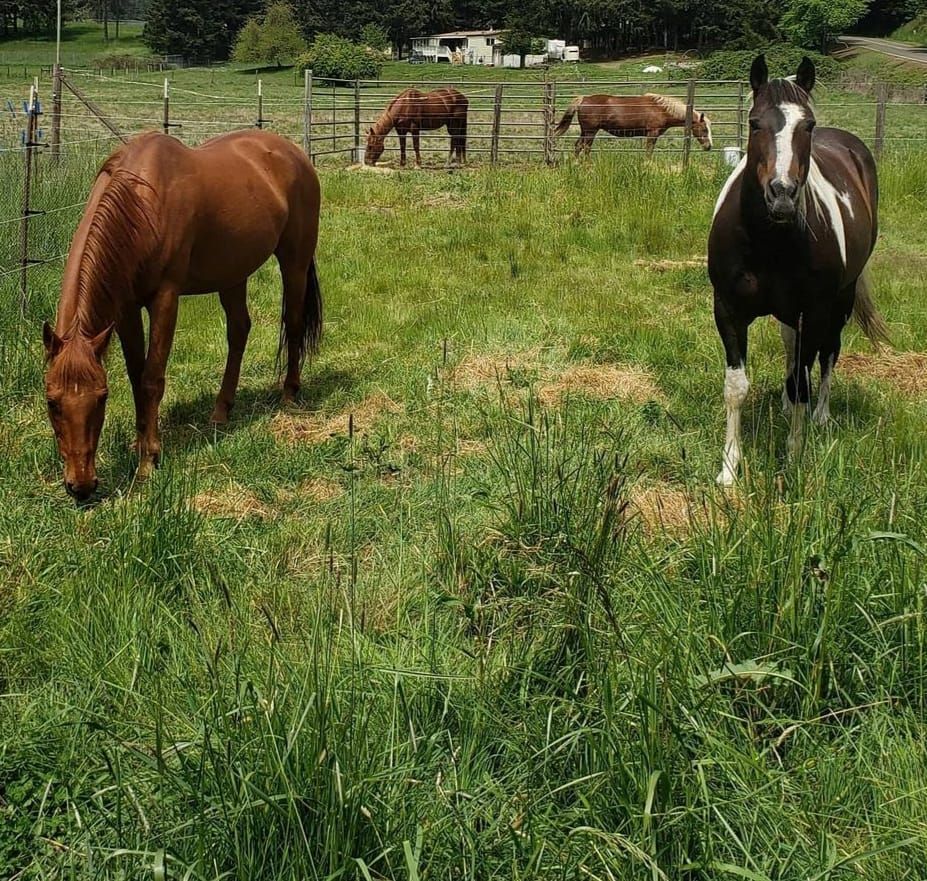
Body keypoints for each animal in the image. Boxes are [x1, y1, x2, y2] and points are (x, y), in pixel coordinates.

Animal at [43, 129, 322, 500]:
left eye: (102, 398)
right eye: (52, 402)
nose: (82, 486)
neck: (141, 202)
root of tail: (294, 153)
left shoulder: (165, 298)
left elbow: (152, 378)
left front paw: (149, 461)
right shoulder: (127, 307)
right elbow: (136, 374)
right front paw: (140, 443)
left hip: (295, 261)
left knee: (292, 323)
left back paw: (289, 395)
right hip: (233, 274)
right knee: (239, 331)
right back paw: (221, 411)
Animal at [554, 93, 713, 156]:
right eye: (704, 129)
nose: (709, 147)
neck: (661, 109)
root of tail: (583, 99)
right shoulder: (652, 134)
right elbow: (649, 151)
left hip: (585, 131)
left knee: (578, 146)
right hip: (590, 132)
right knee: (586, 148)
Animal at [708, 55, 887, 486]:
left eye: (808, 125)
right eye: (755, 122)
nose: (782, 195)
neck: (766, 241)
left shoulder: (816, 310)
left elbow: (805, 378)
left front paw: (792, 459)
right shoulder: (727, 310)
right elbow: (736, 387)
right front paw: (728, 468)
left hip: (839, 302)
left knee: (826, 356)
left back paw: (819, 415)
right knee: (792, 349)